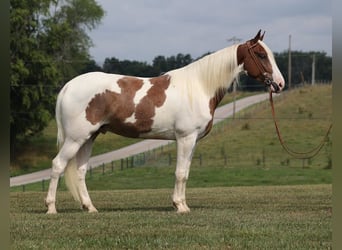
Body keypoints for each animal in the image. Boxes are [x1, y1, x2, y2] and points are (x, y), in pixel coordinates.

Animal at [46, 29, 286, 213]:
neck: (199, 87)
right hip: (75, 138)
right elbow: (180, 173)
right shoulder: (185, 138)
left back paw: (90, 208)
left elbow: (185, 173)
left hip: (89, 137)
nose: (280, 84)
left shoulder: (192, 141)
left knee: (80, 171)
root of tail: (68, 87)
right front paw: (179, 206)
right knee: (58, 165)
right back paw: (51, 208)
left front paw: (183, 205)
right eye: (261, 55)